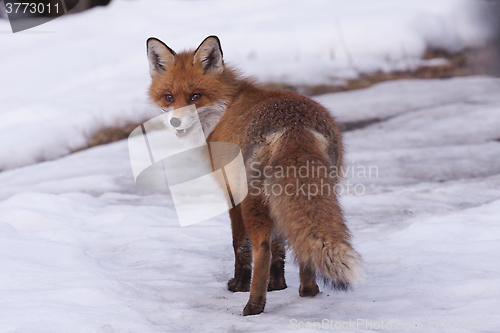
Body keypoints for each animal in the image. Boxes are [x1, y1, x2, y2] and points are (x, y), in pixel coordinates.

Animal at [146, 35, 364, 316]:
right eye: (169, 97)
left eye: (195, 96)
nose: (176, 123)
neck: (225, 109)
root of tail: (293, 124)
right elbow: (281, 244)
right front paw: (278, 284)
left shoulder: (231, 191)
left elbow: (240, 246)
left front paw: (239, 284)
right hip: (313, 188)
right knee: (298, 237)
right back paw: (308, 290)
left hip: (254, 199)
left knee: (262, 248)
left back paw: (253, 304)